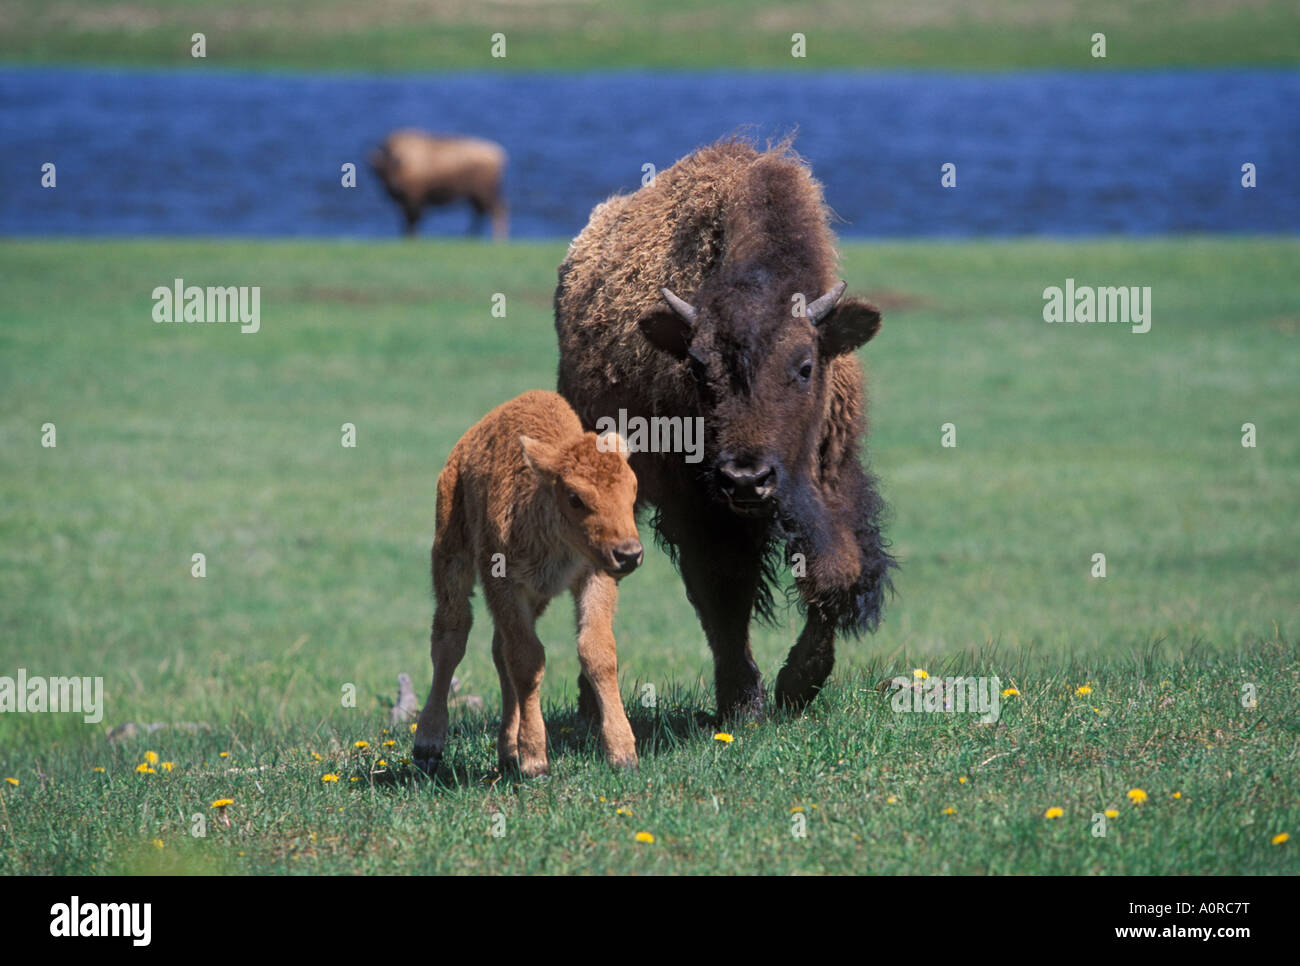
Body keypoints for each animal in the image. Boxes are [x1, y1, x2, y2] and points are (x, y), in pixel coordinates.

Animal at [369, 129, 508, 240]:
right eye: (380, 172)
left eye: (395, 169)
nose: (394, 187)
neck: (406, 164)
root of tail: (498, 153)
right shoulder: (405, 201)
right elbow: (408, 220)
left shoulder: (414, 198)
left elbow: (413, 219)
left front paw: (411, 237)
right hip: (475, 195)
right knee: (480, 212)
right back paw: (470, 236)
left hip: (484, 193)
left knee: (497, 210)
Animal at [412, 390, 643, 777]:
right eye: (575, 497)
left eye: (633, 489)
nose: (629, 555)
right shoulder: (503, 583)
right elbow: (527, 659)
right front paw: (535, 760)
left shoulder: (593, 576)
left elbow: (596, 652)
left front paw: (623, 754)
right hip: (451, 556)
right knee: (450, 639)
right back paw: (428, 746)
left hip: (536, 598)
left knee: (497, 650)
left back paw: (507, 751)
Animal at [554, 138, 895, 722]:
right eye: (696, 368)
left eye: (805, 366)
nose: (746, 480)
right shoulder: (698, 507)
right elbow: (722, 595)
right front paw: (745, 703)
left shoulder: (831, 481)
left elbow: (837, 571)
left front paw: (798, 685)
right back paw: (589, 704)